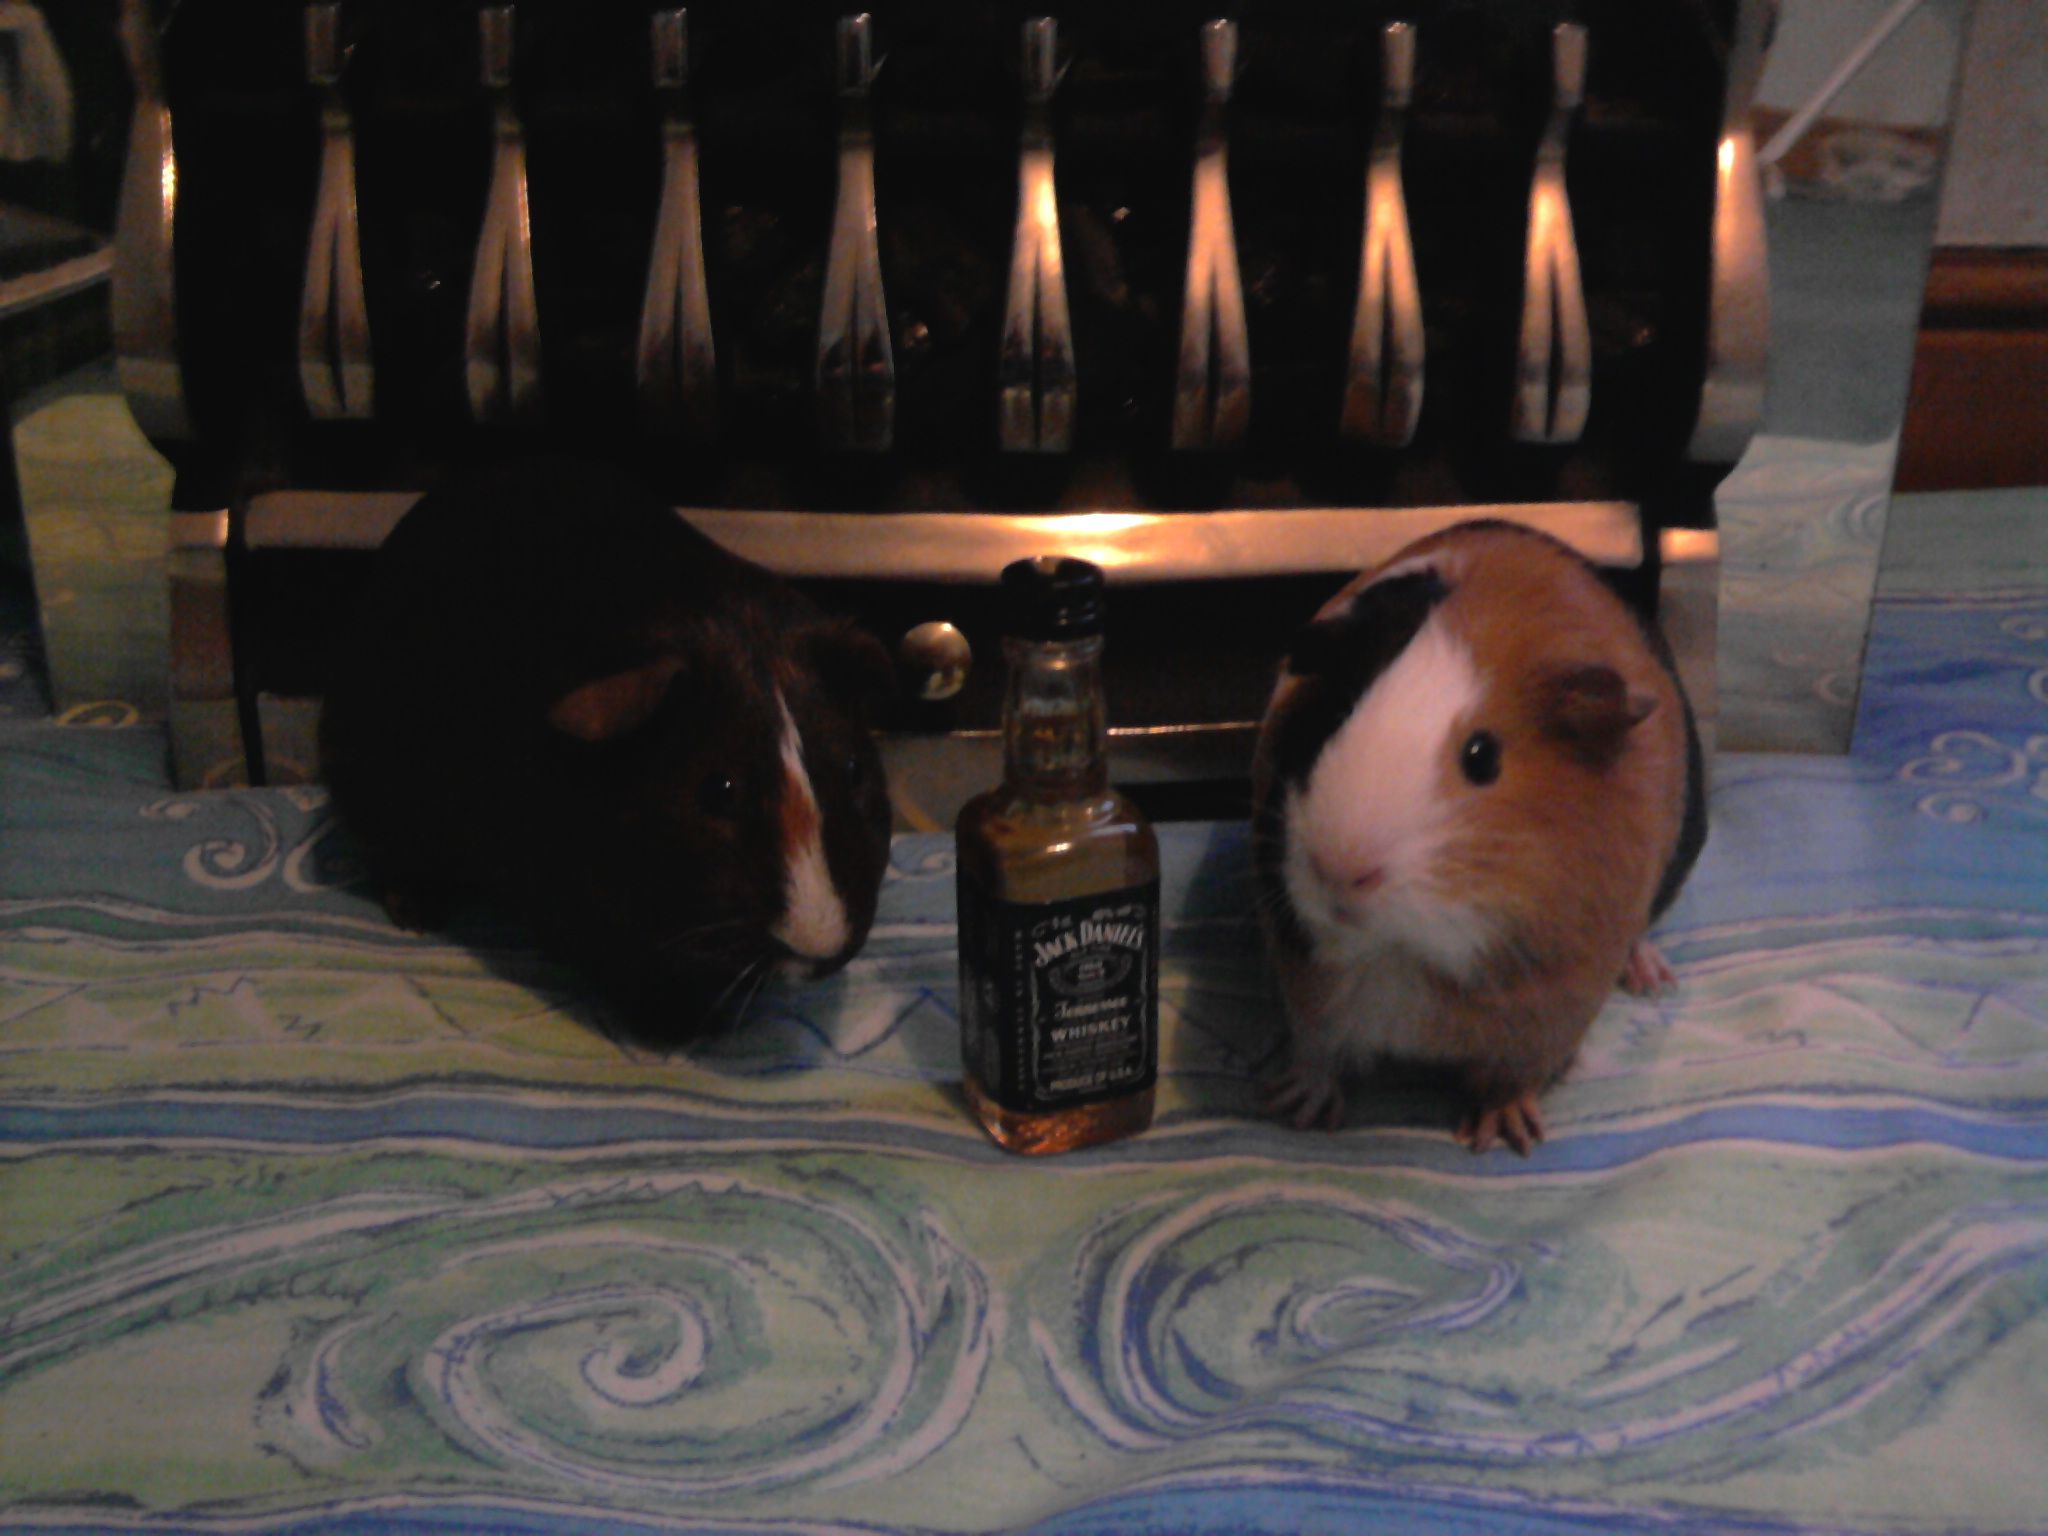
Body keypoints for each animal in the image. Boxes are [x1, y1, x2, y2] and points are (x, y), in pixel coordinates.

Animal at [1251, 519, 1706, 1153]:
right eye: (1330, 719)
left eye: (1482, 757)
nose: (1342, 870)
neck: (1401, 953)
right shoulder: (1308, 991)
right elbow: (1319, 1053)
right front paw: (1293, 1109)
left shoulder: (1552, 1015)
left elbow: (1513, 1077)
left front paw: (1500, 1134)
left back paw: (1652, 980)